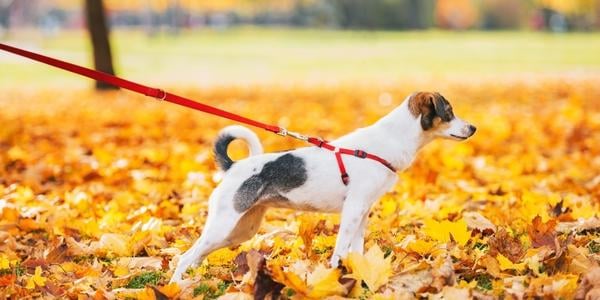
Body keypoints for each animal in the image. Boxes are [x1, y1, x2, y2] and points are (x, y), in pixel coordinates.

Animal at [171, 92, 476, 284]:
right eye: (449, 113)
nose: (473, 128)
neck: (387, 141)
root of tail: (233, 167)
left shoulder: (362, 212)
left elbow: (357, 249)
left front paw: (358, 275)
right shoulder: (352, 210)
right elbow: (340, 250)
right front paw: (336, 277)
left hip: (240, 230)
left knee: (197, 255)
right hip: (224, 225)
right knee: (185, 257)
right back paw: (176, 286)